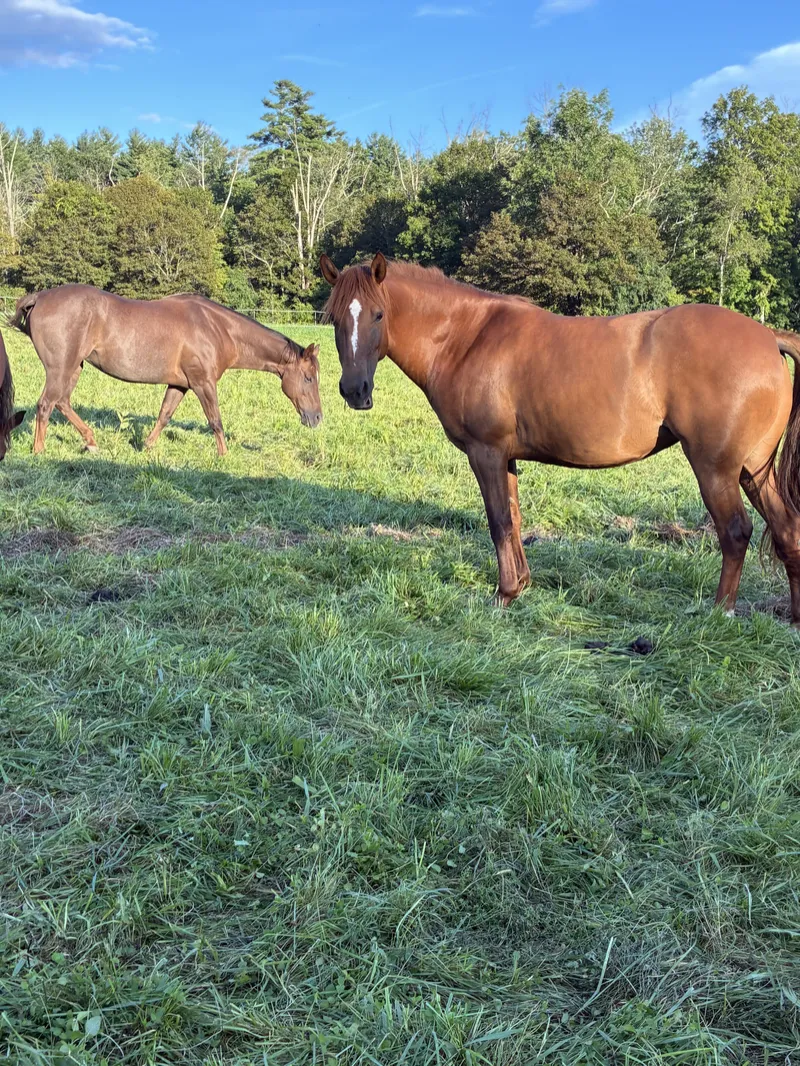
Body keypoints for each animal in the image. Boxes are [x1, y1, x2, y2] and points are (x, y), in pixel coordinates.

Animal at [9, 285, 323, 457]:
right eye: (308, 378)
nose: (316, 418)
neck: (217, 329)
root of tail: (40, 297)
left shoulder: (180, 384)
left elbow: (164, 416)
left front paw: (147, 446)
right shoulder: (203, 383)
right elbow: (215, 420)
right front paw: (224, 455)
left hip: (74, 368)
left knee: (61, 402)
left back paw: (91, 442)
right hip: (61, 368)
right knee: (46, 404)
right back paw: (40, 451)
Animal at [321, 252, 800, 625]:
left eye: (379, 314)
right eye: (335, 318)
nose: (355, 391)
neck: (467, 337)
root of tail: (767, 337)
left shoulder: (485, 452)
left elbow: (498, 521)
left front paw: (503, 594)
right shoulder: (506, 457)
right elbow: (513, 519)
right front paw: (520, 586)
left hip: (716, 468)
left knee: (735, 533)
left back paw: (720, 613)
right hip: (754, 470)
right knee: (786, 528)